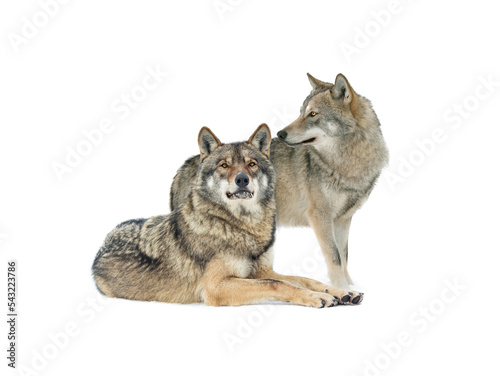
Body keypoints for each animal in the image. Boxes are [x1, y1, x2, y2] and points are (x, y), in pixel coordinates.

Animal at [92, 125, 362, 306]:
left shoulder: (260, 271)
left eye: (252, 164)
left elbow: (301, 279)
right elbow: (278, 284)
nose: (242, 179)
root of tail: (102, 244)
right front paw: (317, 297)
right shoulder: (217, 286)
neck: (241, 226)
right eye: (224, 165)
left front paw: (340, 291)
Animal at [170, 74, 388, 290]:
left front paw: (351, 287)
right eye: (301, 112)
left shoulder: (343, 219)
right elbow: (334, 258)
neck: (347, 163)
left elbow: (344, 257)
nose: (281, 133)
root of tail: (185, 167)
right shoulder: (320, 217)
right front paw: (342, 289)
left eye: (313, 114)